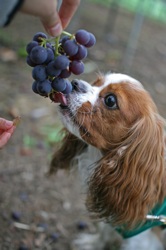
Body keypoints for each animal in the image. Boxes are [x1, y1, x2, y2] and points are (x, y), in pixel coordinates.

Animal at [50, 73, 166, 249]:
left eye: (110, 100)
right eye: (96, 83)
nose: (74, 83)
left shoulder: (141, 240)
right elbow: (104, 232)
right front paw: (93, 244)